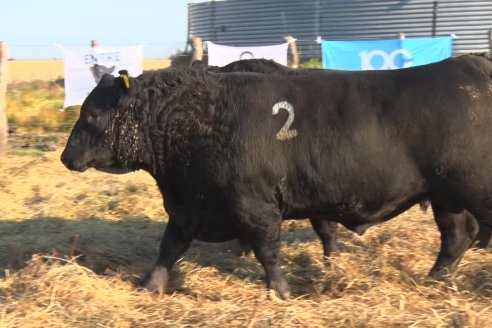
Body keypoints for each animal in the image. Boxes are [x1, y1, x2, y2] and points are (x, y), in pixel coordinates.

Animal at [63, 55, 492, 298]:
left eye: (92, 115)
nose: (66, 156)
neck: (199, 116)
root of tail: (473, 64)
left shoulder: (255, 205)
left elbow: (268, 251)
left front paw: (280, 293)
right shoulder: (189, 208)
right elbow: (168, 249)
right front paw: (148, 287)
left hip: (470, 188)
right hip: (446, 196)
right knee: (457, 237)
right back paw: (434, 282)